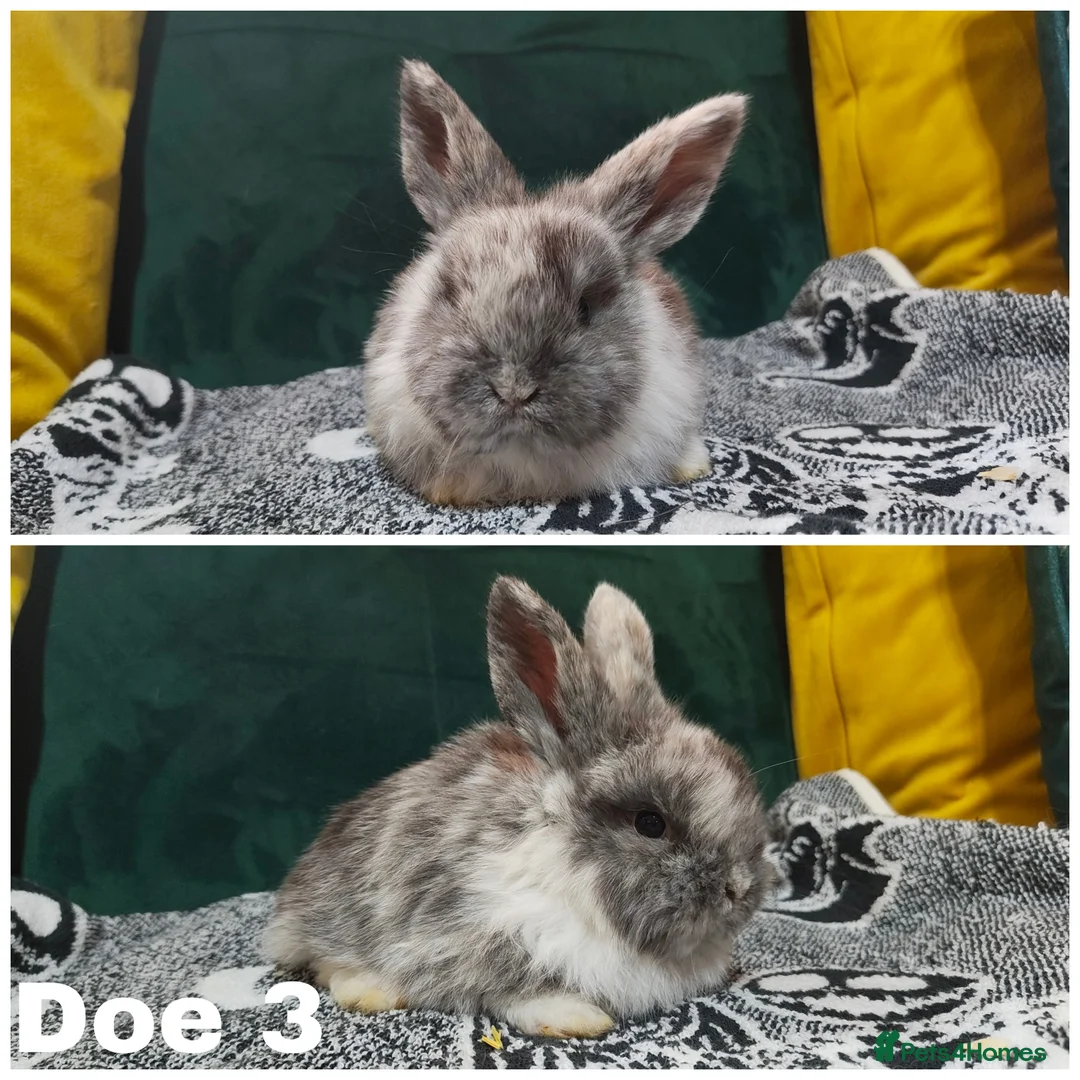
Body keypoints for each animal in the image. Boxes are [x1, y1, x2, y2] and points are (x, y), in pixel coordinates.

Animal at [264, 576, 771, 1039]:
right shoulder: (470, 933)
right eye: (650, 823)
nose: (739, 888)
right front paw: (574, 1017)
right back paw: (369, 990)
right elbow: (511, 987)